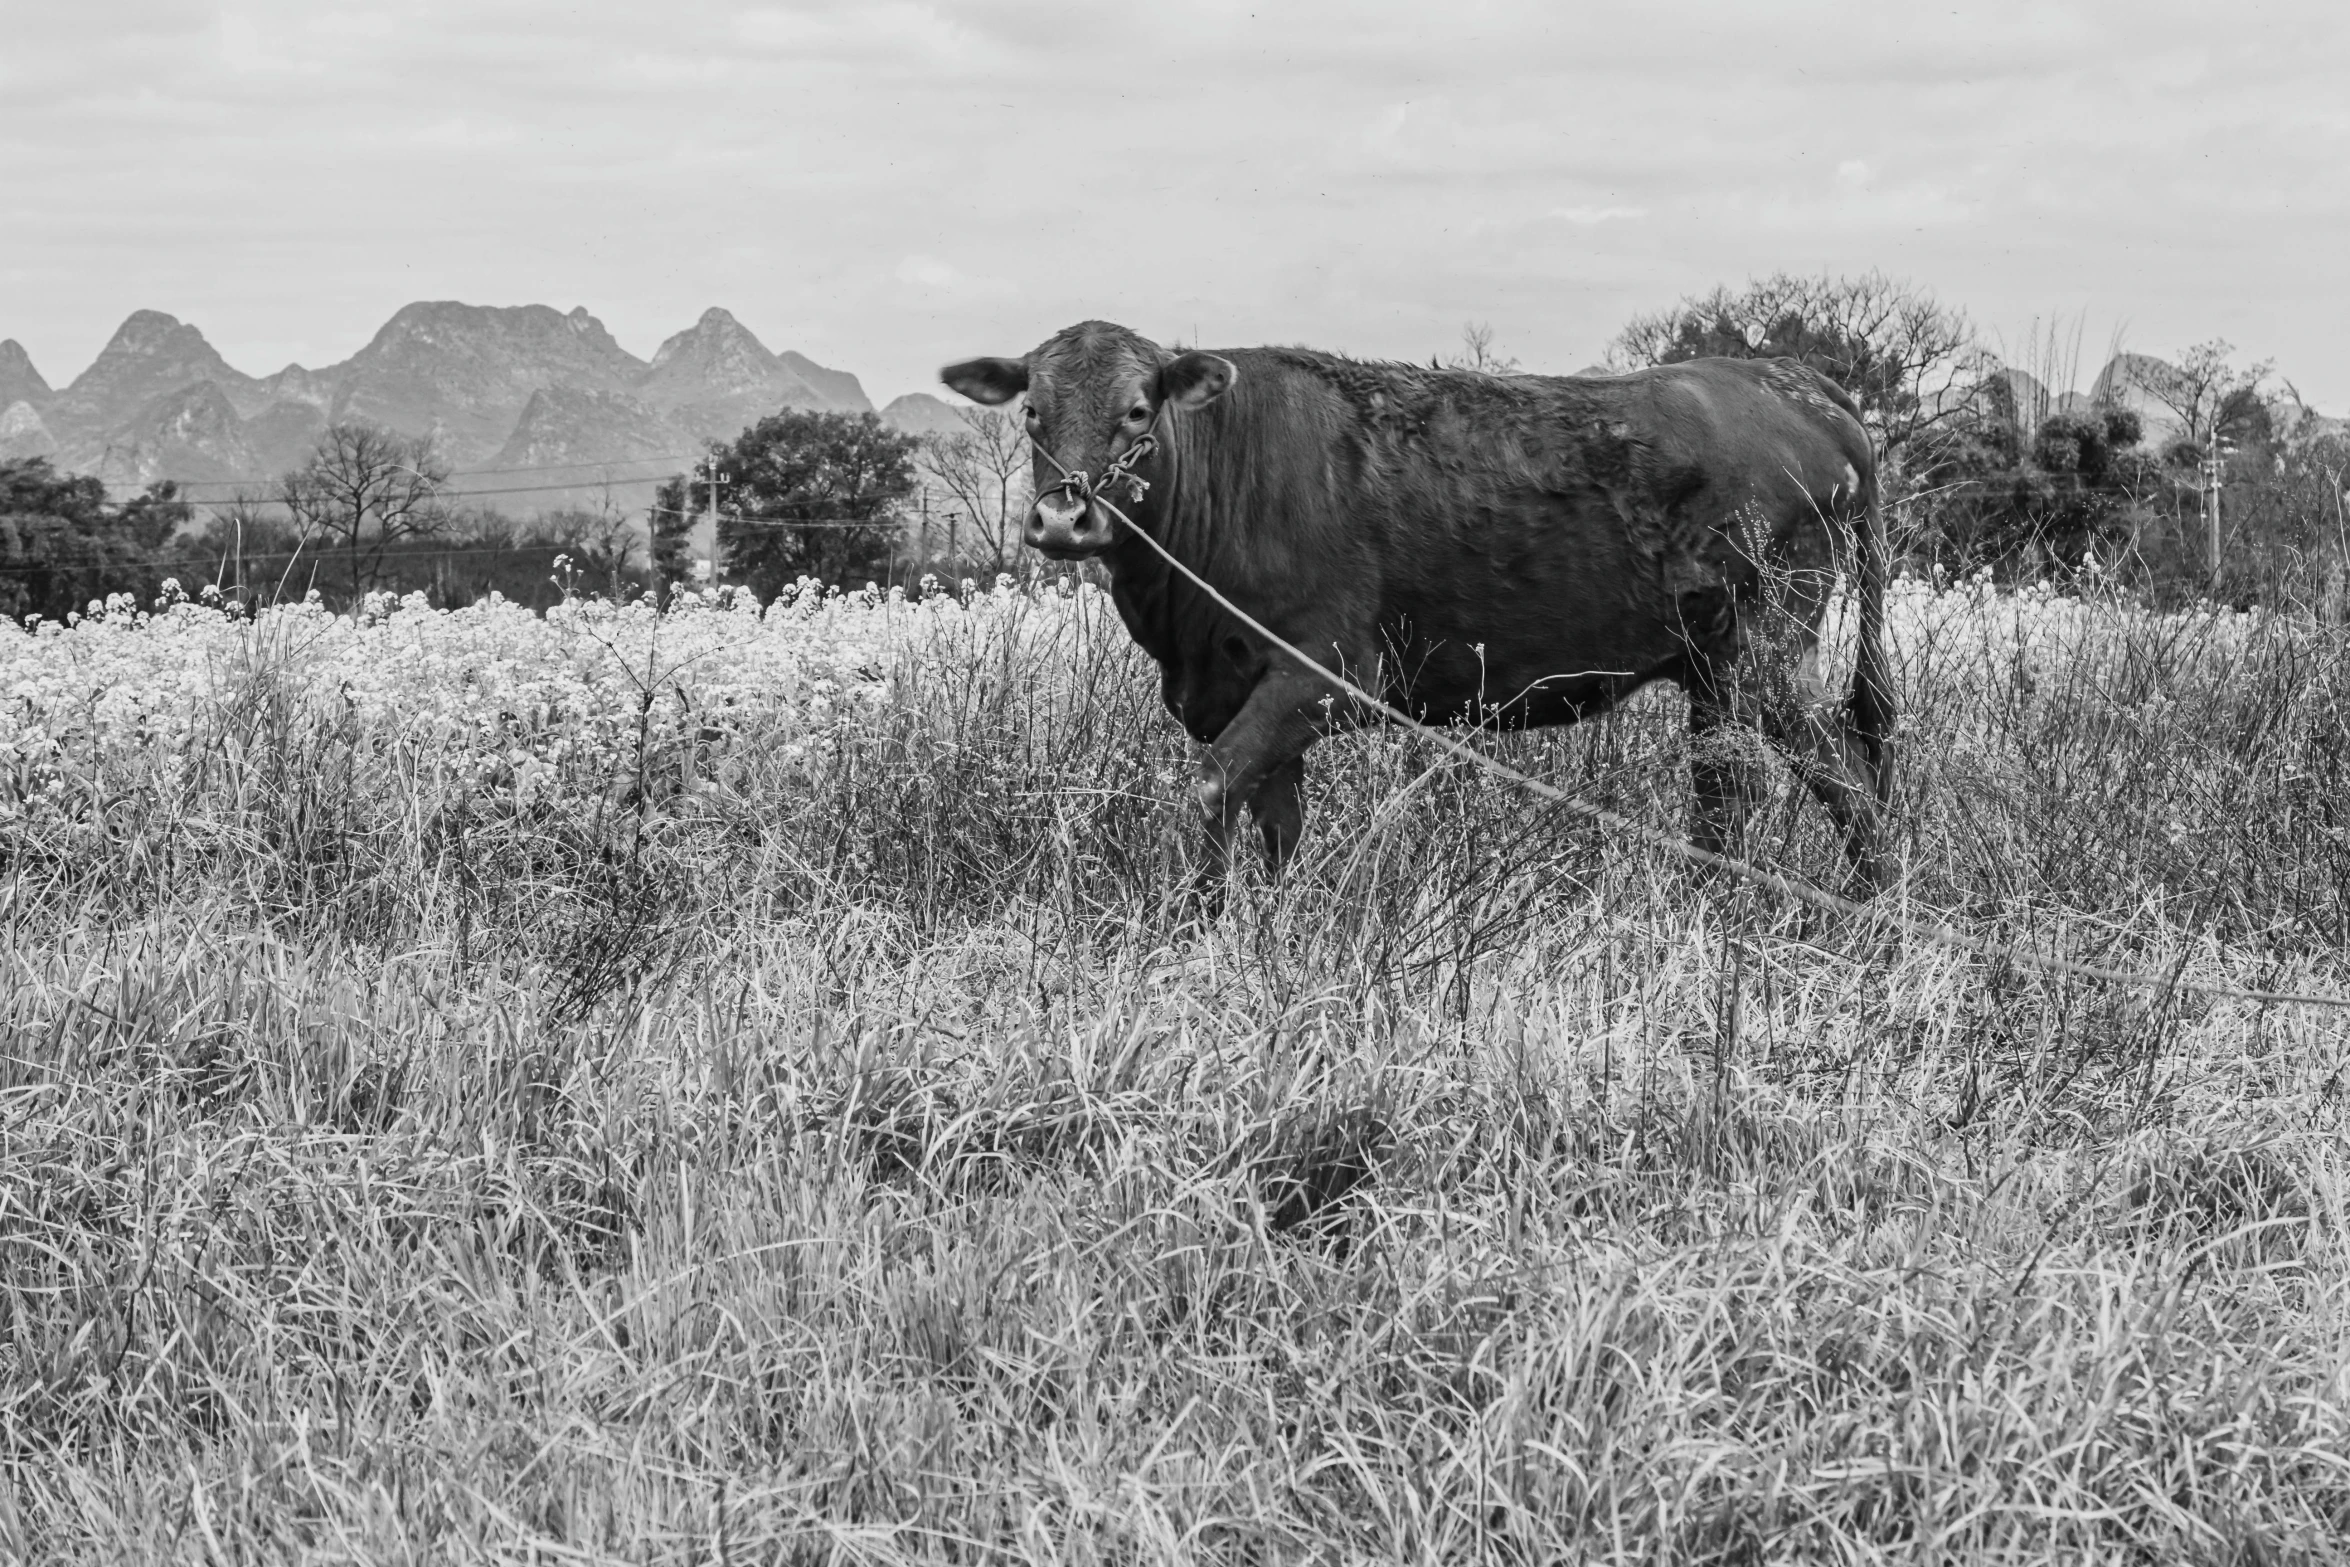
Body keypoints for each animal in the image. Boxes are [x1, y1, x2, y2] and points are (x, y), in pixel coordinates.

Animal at [935, 314, 1889, 892]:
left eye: (1139, 411)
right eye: (1031, 413)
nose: (1064, 518)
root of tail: (1790, 380)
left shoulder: (1325, 674)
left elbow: (1212, 786)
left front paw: (1196, 923)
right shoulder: (1251, 691)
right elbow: (1274, 823)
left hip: (1769, 652)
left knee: (1846, 780)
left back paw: (1879, 914)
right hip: (1710, 668)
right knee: (1726, 791)